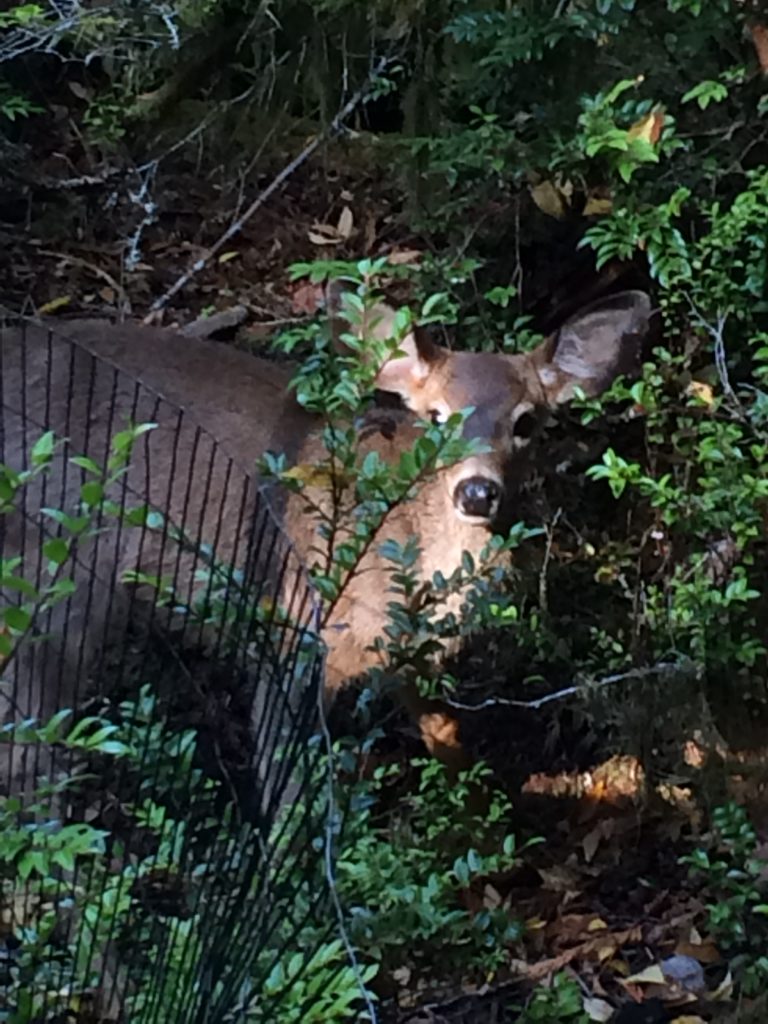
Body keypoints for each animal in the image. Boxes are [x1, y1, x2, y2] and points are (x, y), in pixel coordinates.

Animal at [0, 292, 651, 786]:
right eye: (436, 416)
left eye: (526, 421)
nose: (476, 493)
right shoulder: (291, 636)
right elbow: (282, 783)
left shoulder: (399, 653)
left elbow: (444, 728)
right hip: (46, 584)